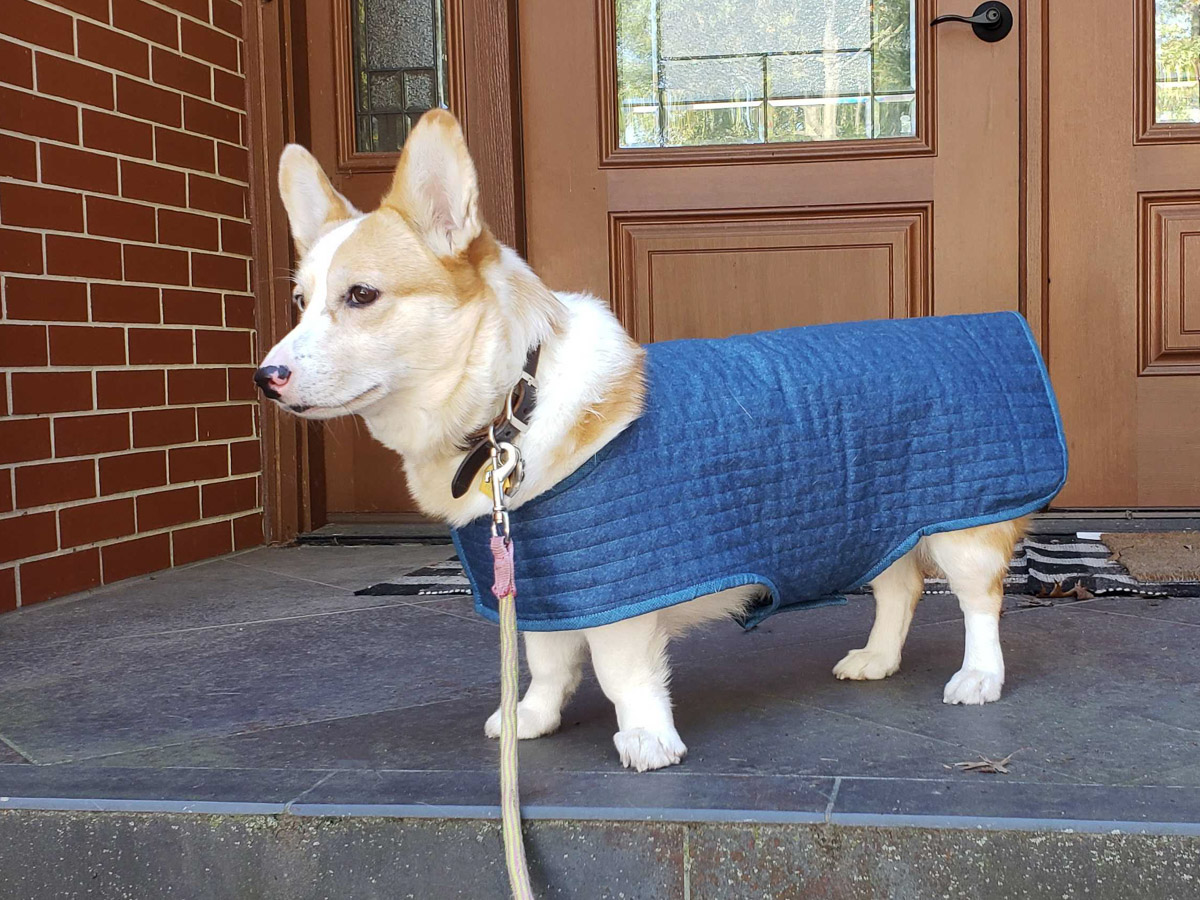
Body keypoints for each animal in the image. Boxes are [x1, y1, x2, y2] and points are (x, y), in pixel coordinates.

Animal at [260, 111, 1022, 777]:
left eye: (361, 295)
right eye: (299, 302)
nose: (265, 378)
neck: (516, 400)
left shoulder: (620, 596)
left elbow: (618, 673)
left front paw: (647, 740)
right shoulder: (550, 584)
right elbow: (545, 662)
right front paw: (531, 718)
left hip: (964, 530)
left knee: (978, 601)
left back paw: (979, 676)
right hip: (877, 516)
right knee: (899, 586)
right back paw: (876, 658)